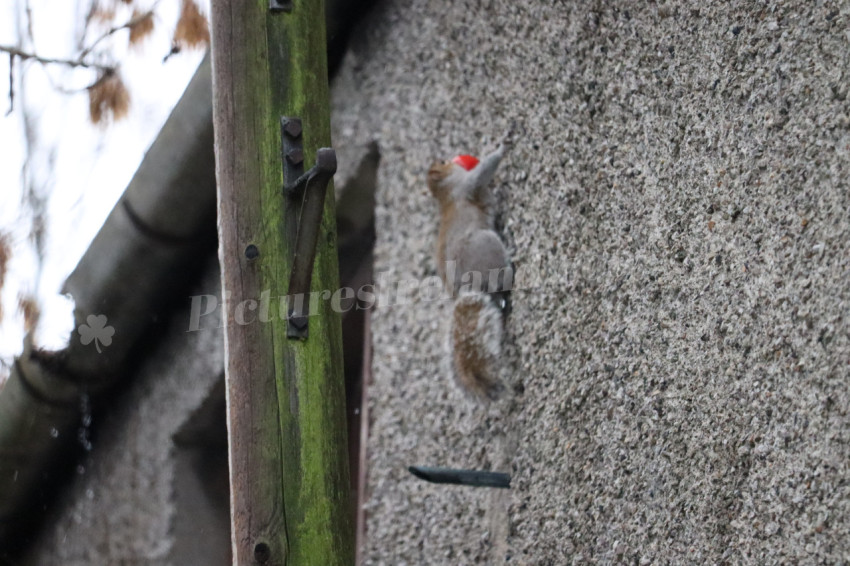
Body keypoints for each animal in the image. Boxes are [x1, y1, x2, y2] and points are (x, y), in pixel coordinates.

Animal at [424, 134, 510, 402]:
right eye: (443, 162)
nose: (455, 158)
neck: (445, 191)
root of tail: (466, 288)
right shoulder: (469, 184)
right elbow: (486, 169)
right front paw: (504, 145)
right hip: (486, 245)